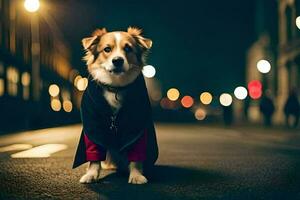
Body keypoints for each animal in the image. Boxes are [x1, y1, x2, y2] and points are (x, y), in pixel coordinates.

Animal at [72, 27, 158, 184]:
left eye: (128, 48)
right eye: (107, 49)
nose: (117, 60)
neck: (115, 87)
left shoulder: (137, 127)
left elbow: (136, 155)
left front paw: (136, 175)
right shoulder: (92, 125)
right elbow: (94, 155)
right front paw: (91, 174)